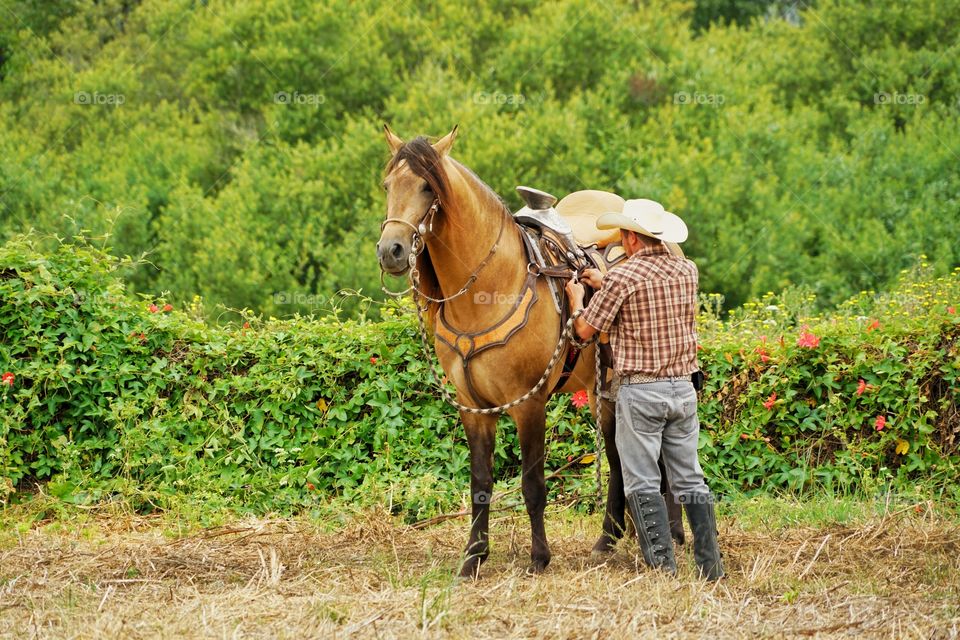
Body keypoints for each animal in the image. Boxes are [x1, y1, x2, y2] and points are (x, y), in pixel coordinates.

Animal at [376, 124, 684, 576]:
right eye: (387, 186)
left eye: (427, 187)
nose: (391, 251)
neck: (490, 290)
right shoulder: (474, 408)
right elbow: (480, 483)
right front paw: (473, 558)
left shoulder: (529, 404)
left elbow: (533, 484)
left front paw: (539, 557)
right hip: (605, 390)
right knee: (617, 458)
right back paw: (608, 540)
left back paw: (673, 534)